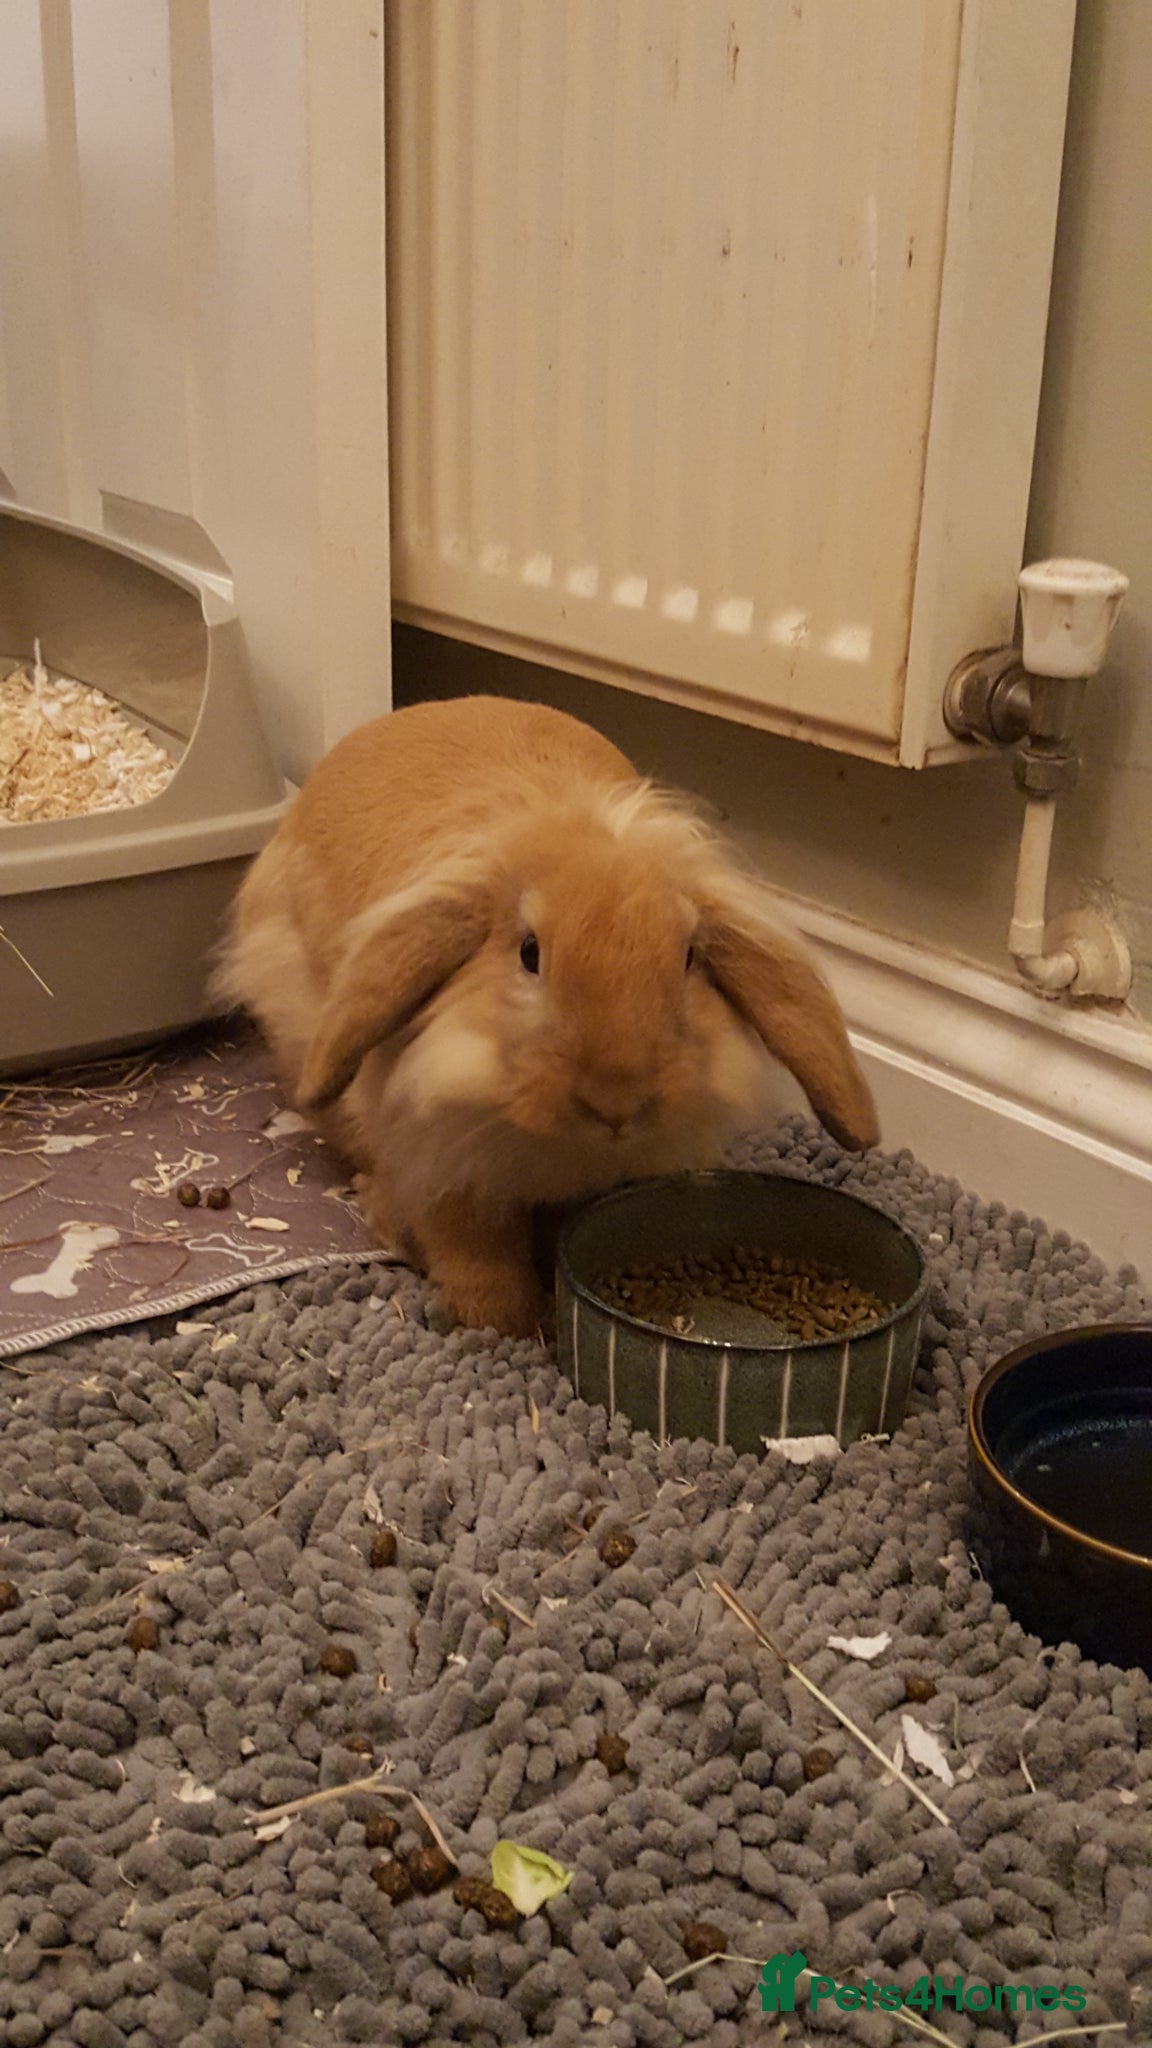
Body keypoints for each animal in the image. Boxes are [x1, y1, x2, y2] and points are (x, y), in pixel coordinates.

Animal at [214, 694, 879, 1336]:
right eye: (529, 953)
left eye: (690, 956)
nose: (617, 1101)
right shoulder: (446, 1172)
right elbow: (475, 1258)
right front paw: (505, 1327)